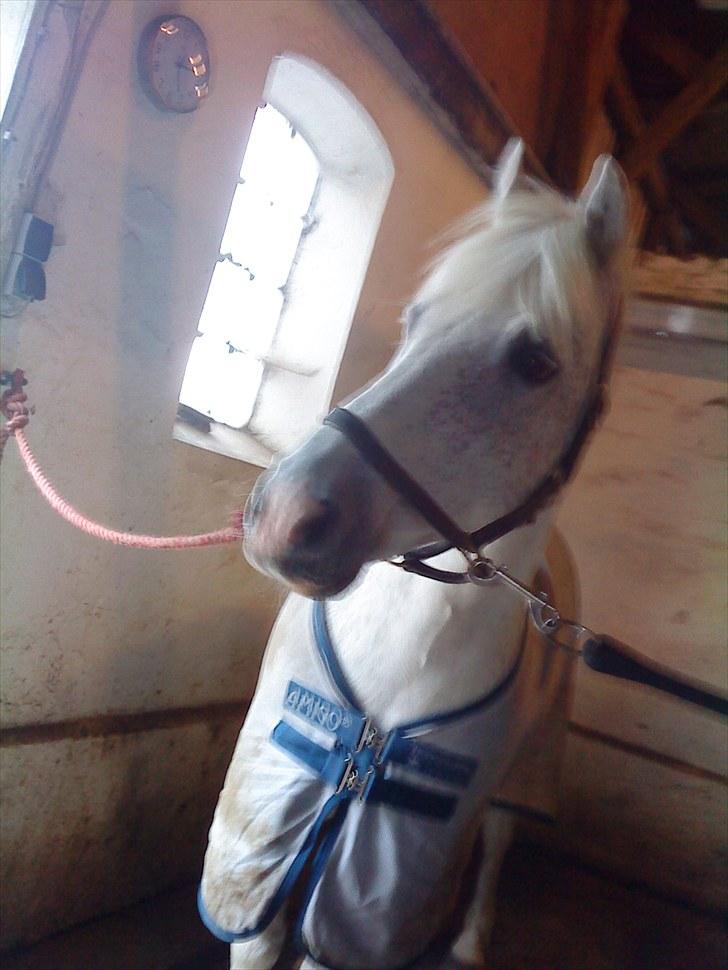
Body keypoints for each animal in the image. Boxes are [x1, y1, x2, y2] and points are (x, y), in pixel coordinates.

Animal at [198, 139, 629, 970]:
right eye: (415, 320)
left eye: (536, 361)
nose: (281, 516)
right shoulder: (260, 859)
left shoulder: (369, 896)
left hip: (527, 768)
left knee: (497, 843)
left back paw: (469, 943)